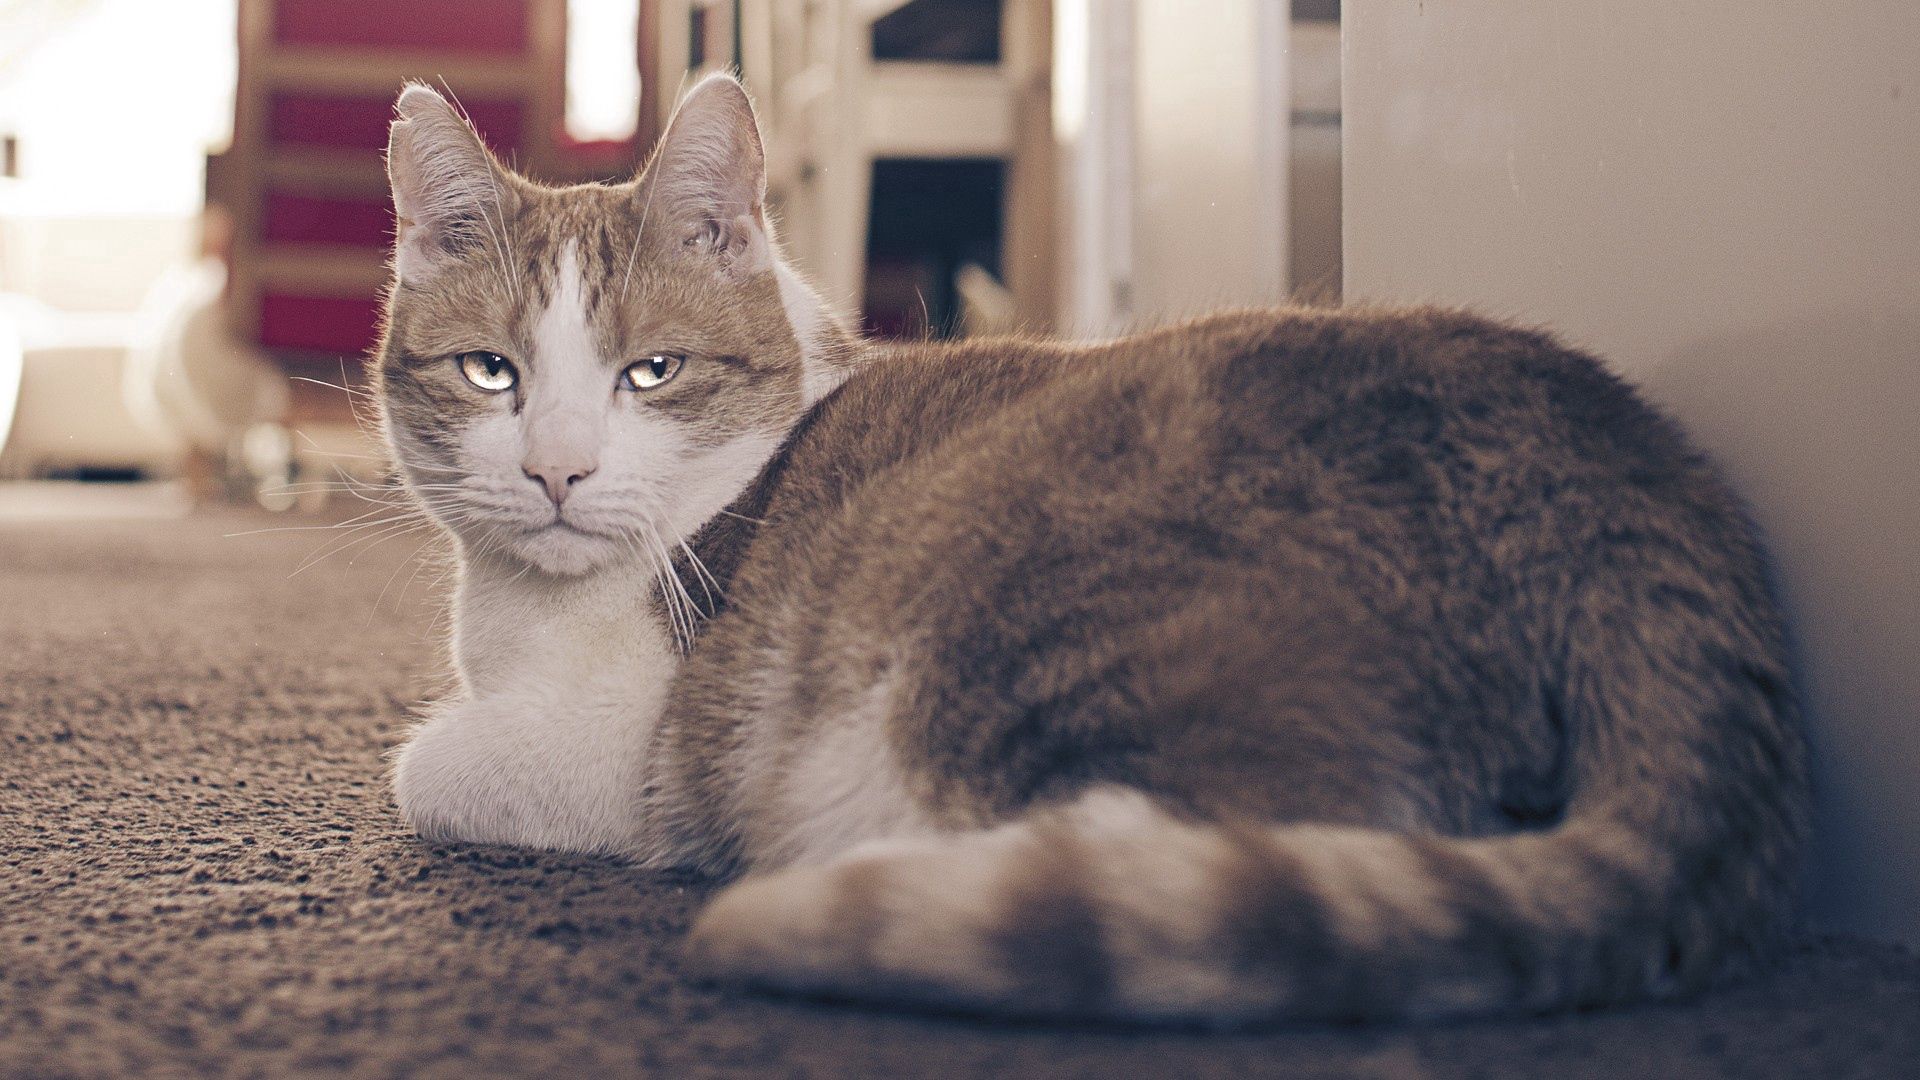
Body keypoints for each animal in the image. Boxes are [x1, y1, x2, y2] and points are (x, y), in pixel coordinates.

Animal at [374, 73, 1797, 1014]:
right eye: (493, 373)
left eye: (652, 374)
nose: (558, 470)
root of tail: (1630, 477)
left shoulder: (631, 743)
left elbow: (427, 767)